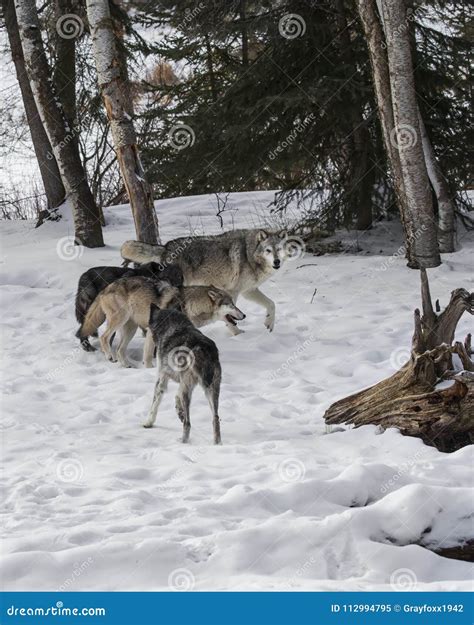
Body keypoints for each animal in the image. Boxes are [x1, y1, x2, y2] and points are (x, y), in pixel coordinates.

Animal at [143, 304, 222, 444]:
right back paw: (217, 444)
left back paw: (182, 442)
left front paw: (148, 422)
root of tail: (201, 347)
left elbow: (155, 404)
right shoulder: (182, 382)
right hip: (212, 391)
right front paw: (179, 411)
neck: (174, 324)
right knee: (215, 419)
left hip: (189, 392)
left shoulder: (162, 379)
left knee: (188, 423)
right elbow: (176, 396)